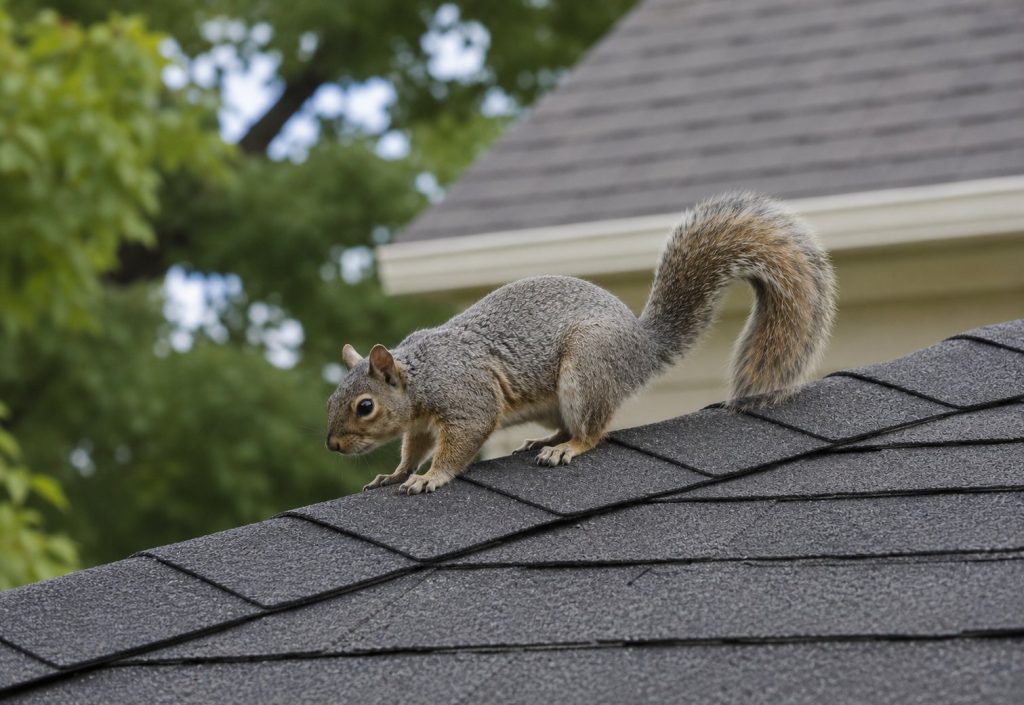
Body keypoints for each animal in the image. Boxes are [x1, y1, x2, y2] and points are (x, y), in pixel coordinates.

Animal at [327, 193, 836, 495]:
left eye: (365, 406)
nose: (332, 445)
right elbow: (411, 447)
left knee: (594, 430)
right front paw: (395, 473)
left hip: (586, 369)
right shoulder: (418, 423)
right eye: (333, 398)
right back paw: (546, 439)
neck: (421, 375)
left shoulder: (467, 395)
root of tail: (640, 347)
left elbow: (461, 440)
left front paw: (430, 477)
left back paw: (567, 448)